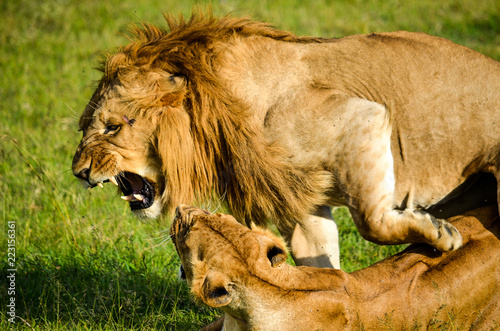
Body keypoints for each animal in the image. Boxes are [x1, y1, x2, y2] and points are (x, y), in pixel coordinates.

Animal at [71, 13, 500, 270]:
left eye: (113, 127)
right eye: (83, 127)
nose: (79, 173)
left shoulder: (362, 118)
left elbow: (372, 222)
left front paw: (440, 233)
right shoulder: (299, 203)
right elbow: (319, 265)